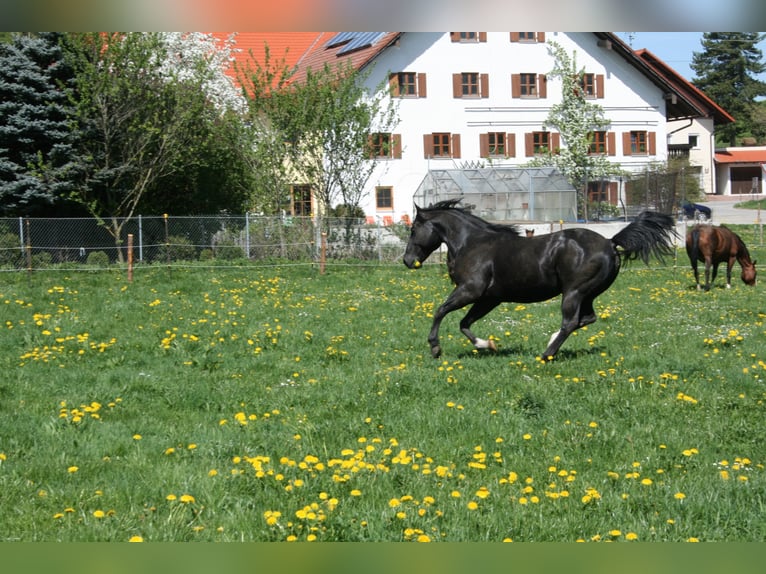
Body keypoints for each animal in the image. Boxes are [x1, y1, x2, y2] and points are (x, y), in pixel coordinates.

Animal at [402, 201, 680, 360]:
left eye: (413, 230)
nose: (407, 260)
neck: (472, 244)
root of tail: (611, 243)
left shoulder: (470, 290)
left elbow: (440, 311)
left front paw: (435, 348)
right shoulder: (490, 298)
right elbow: (464, 323)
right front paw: (487, 345)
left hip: (574, 292)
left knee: (571, 321)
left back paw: (547, 354)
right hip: (587, 294)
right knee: (586, 318)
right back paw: (549, 343)